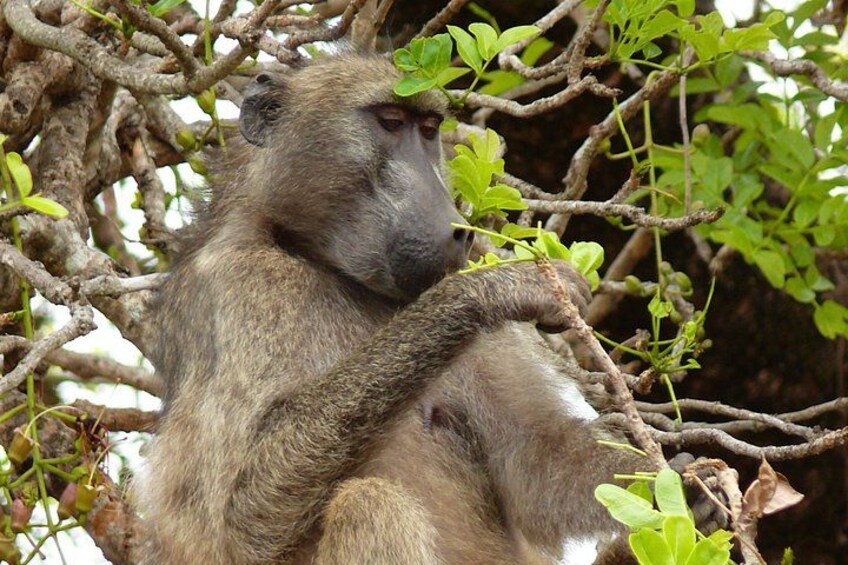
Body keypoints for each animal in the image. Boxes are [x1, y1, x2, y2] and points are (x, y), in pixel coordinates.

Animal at [138, 52, 711, 564]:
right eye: (390, 123)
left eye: (430, 130)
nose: (455, 226)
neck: (332, 269)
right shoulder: (235, 285)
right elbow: (243, 519)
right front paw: (488, 290)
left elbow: (538, 462)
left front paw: (684, 484)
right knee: (370, 504)